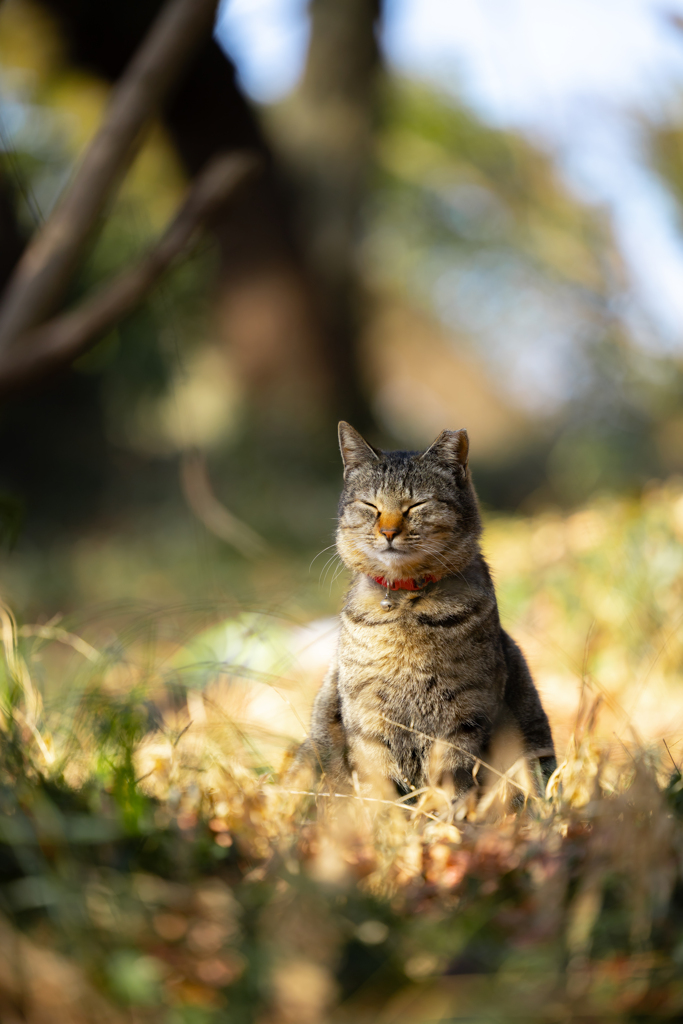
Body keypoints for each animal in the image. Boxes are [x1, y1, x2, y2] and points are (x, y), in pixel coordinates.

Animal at [294, 419, 557, 794]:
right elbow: (381, 787)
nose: (388, 532)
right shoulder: (366, 715)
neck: (405, 604)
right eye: (371, 505)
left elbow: (452, 783)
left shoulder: (464, 712)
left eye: (416, 505)